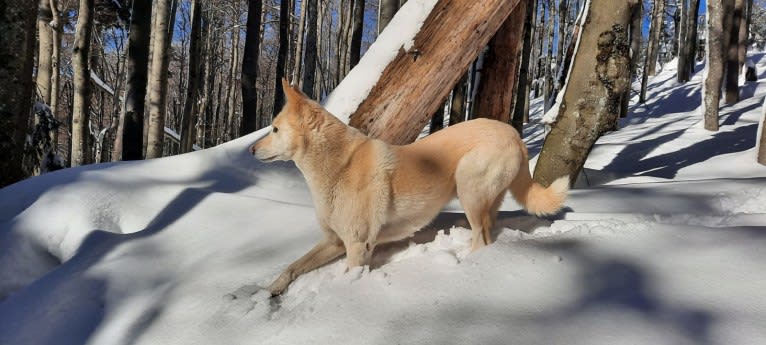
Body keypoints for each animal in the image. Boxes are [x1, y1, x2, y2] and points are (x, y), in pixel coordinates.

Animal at [254, 79, 568, 294]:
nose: (252, 150)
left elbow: (347, 276)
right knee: (489, 234)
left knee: (481, 239)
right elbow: (292, 267)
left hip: (469, 190)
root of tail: (514, 134)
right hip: (485, 199)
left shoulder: (357, 246)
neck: (339, 164)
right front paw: (271, 290)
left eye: (275, 129)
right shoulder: (334, 241)